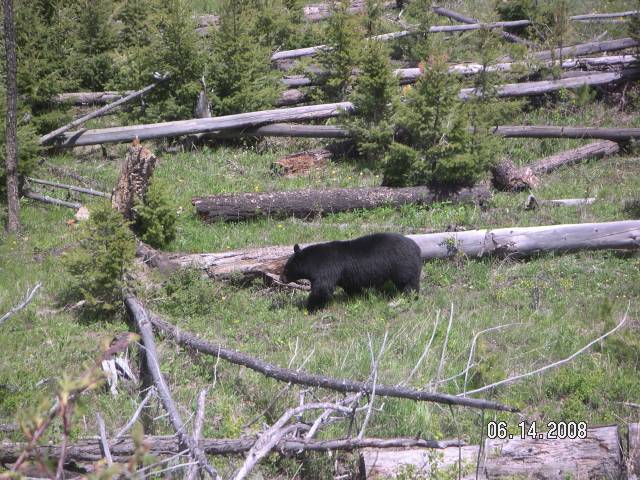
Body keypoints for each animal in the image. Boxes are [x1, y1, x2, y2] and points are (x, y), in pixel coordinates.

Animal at [280, 232, 422, 311]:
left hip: (402, 264)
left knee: (408, 282)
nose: (282, 278)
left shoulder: (327, 269)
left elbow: (322, 289)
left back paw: (410, 296)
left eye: (286, 268)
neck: (314, 262)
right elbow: (351, 287)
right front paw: (361, 296)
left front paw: (310, 307)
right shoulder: (346, 277)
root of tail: (416, 247)